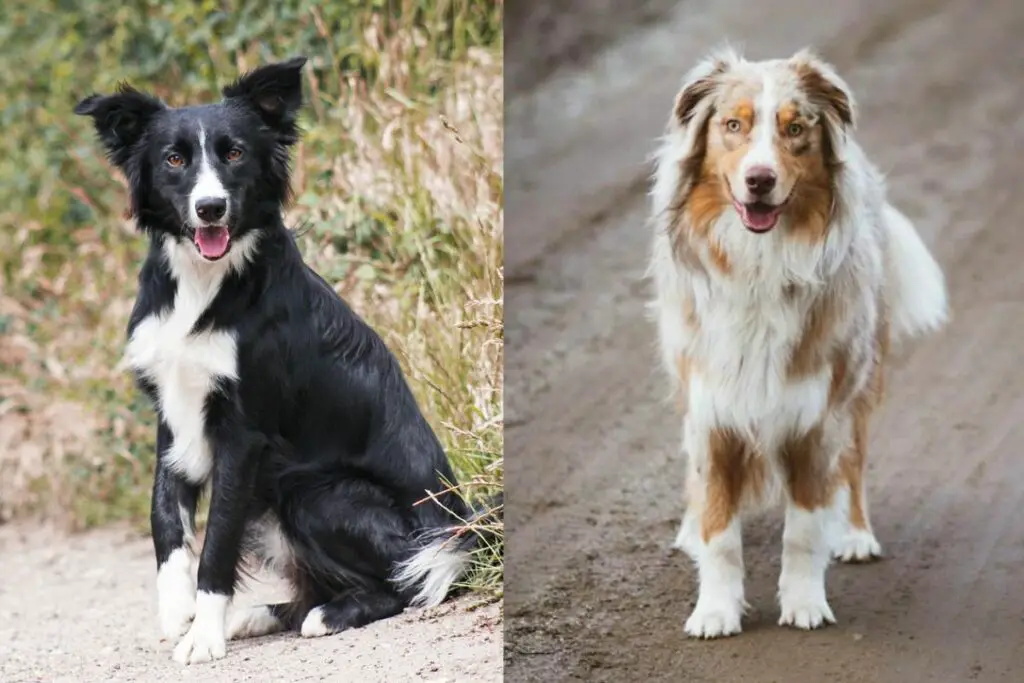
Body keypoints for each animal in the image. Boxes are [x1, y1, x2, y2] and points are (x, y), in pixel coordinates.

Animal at [74, 56, 489, 663]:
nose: (210, 208)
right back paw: (257, 616)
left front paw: (203, 637)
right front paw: (179, 611)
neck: (203, 284)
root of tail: (459, 532)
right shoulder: (173, 413)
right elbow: (165, 519)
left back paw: (327, 615)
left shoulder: (243, 433)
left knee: (404, 583)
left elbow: (217, 542)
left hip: (314, 492)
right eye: (173, 159)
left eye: (234, 153)